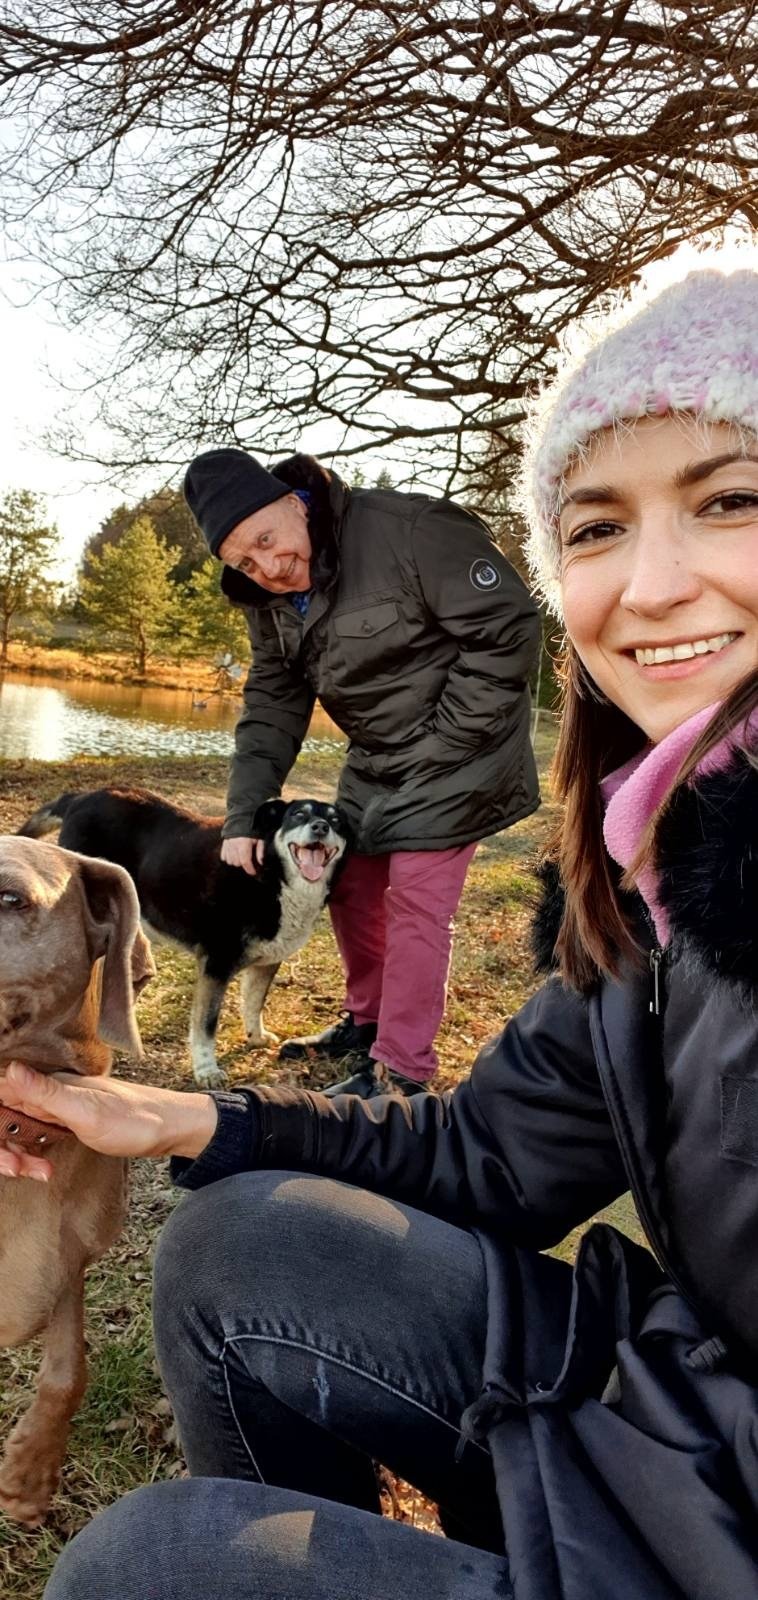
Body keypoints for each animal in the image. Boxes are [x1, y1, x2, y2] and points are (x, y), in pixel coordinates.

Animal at [18, 787, 348, 1088]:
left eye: (336, 821)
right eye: (298, 815)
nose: (321, 827)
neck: (271, 874)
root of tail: (81, 796)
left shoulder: (268, 960)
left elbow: (254, 1002)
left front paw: (255, 1037)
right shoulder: (216, 965)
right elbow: (206, 1024)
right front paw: (206, 1070)